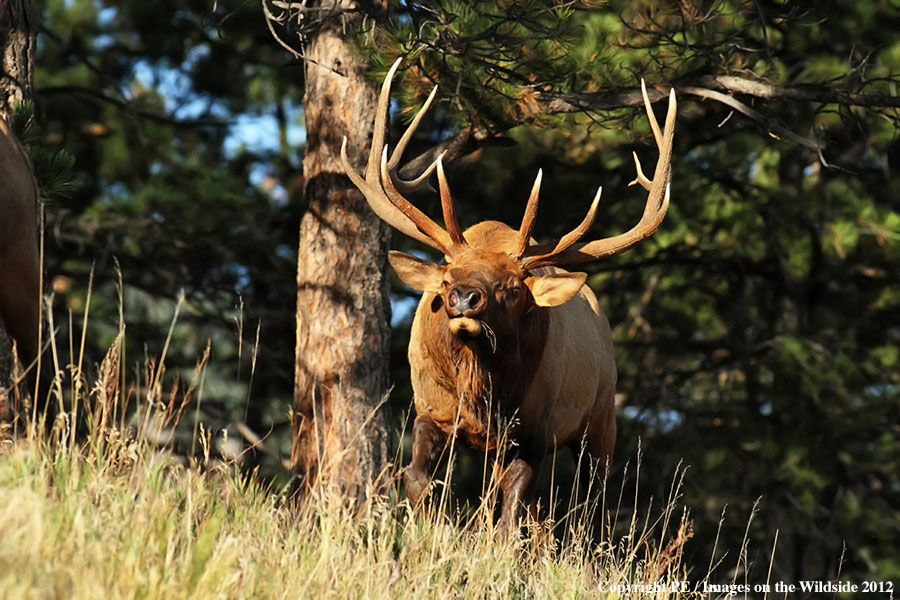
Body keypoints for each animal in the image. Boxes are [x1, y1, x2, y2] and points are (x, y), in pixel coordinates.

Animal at [341, 58, 676, 531]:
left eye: (514, 288)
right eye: (446, 281)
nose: (465, 299)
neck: (481, 390)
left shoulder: (535, 426)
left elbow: (511, 510)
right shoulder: (430, 409)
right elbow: (417, 479)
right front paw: (431, 531)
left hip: (601, 416)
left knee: (589, 503)